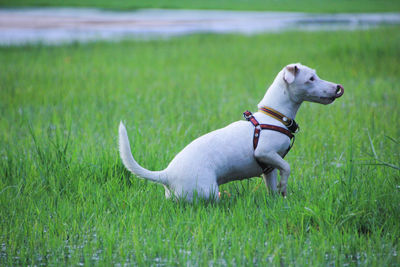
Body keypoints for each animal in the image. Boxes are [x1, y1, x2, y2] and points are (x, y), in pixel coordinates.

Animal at [119, 63, 344, 201]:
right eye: (311, 78)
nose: (337, 87)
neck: (274, 117)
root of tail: (166, 174)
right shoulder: (264, 153)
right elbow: (287, 167)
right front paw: (284, 187)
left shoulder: (269, 168)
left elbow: (273, 184)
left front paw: (277, 197)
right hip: (208, 191)